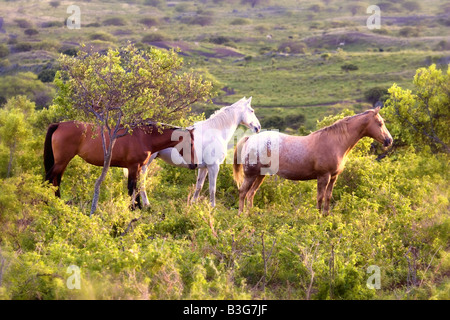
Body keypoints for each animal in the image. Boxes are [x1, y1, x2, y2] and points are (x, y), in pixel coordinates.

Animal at [43, 120, 195, 205]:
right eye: (191, 143)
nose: (194, 165)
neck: (143, 137)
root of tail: (59, 125)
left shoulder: (138, 168)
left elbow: (137, 188)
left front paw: (137, 207)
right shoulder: (133, 167)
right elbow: (131, 188)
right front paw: (132, 208)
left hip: (62, 162)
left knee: (56, 180)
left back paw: (58, 202)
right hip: (62, 161)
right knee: (48, 178)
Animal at [234, 107, 392, 215]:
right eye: (379, 123)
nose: (389, 140)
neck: (335, 141)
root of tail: (250, 138)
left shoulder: (333, 177)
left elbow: (328, 197)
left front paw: (326, 216)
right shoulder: (323, 176)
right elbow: (320, 198)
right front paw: (318, 217)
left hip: (260, 175)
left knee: (251, 193)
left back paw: (251, 215)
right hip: (251, 174)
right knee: (242, 192)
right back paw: (241, 216)